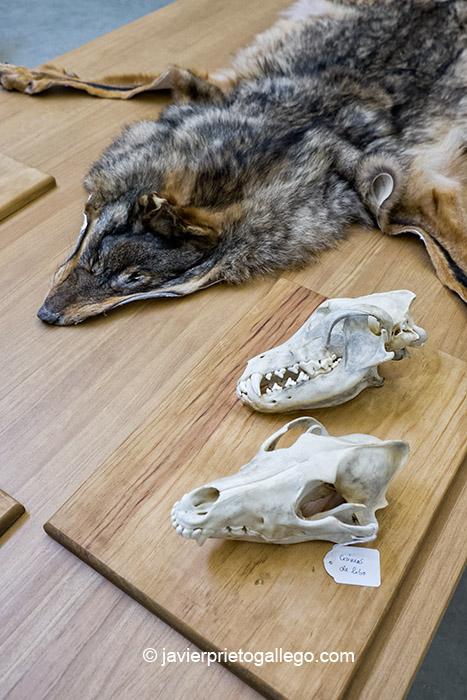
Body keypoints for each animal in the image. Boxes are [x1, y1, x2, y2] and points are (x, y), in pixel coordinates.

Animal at [36, 0, 467, 324]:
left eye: (135, 280)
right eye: (94, 255)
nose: (45, 315)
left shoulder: (396, 194)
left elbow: (450, 262)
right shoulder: (209, 89)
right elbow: (127, 82)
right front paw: (28, 75)